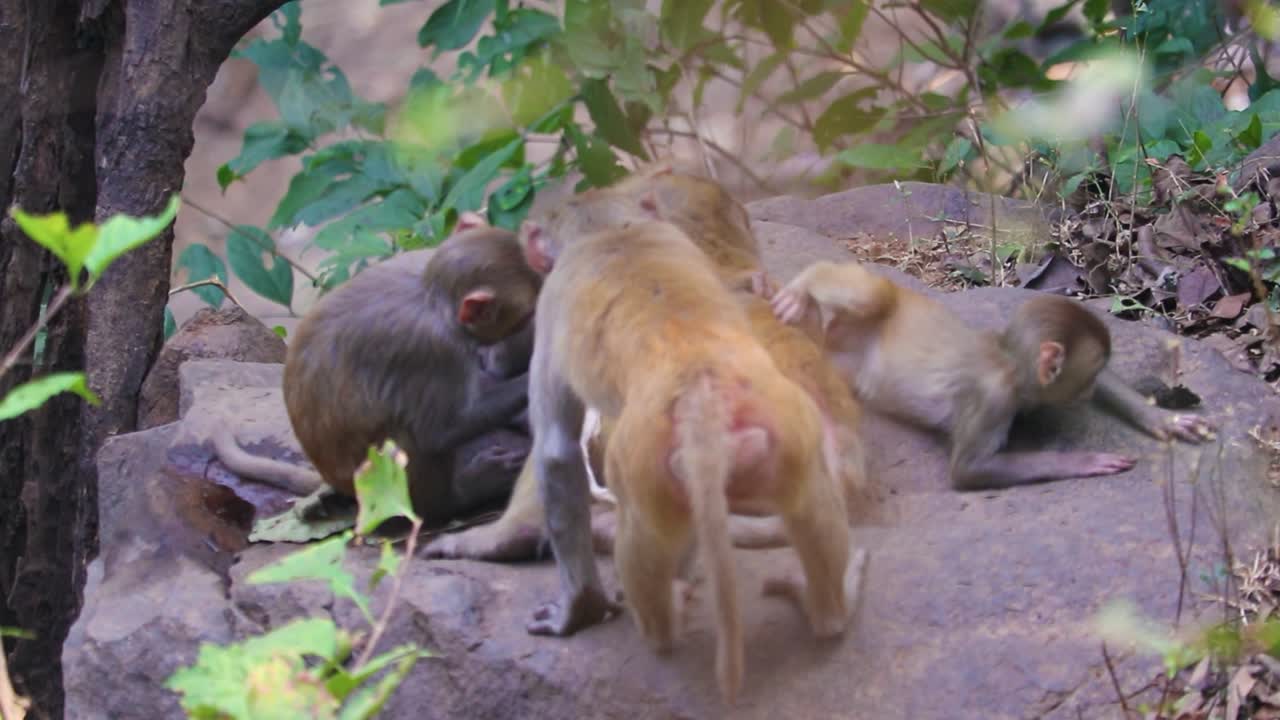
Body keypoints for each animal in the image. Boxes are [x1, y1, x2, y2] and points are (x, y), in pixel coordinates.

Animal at [213, 213, 543, 526]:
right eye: (527, 314)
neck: (432, 293)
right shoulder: (433, 348)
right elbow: (443, 428)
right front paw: (529, 380)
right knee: (409, 438)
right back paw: (463, 492)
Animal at [520, 215, 859, 704]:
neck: (610, 228)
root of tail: (702, 392)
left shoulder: (550, 304)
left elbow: (555, 453)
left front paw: (578, 610)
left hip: (643, 465)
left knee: (640, 531)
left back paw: (663, 628)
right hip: (788, 426)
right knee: (812, 501)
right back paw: (829, 612)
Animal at [765, 260, 1216, 491]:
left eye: (1090, 381)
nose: (1086, 396)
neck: (1009, 364)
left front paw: (1164, 420)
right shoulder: (992, 398)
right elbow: (968, 469)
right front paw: (1084, 461)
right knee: (873, 295)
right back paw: (804, 283)